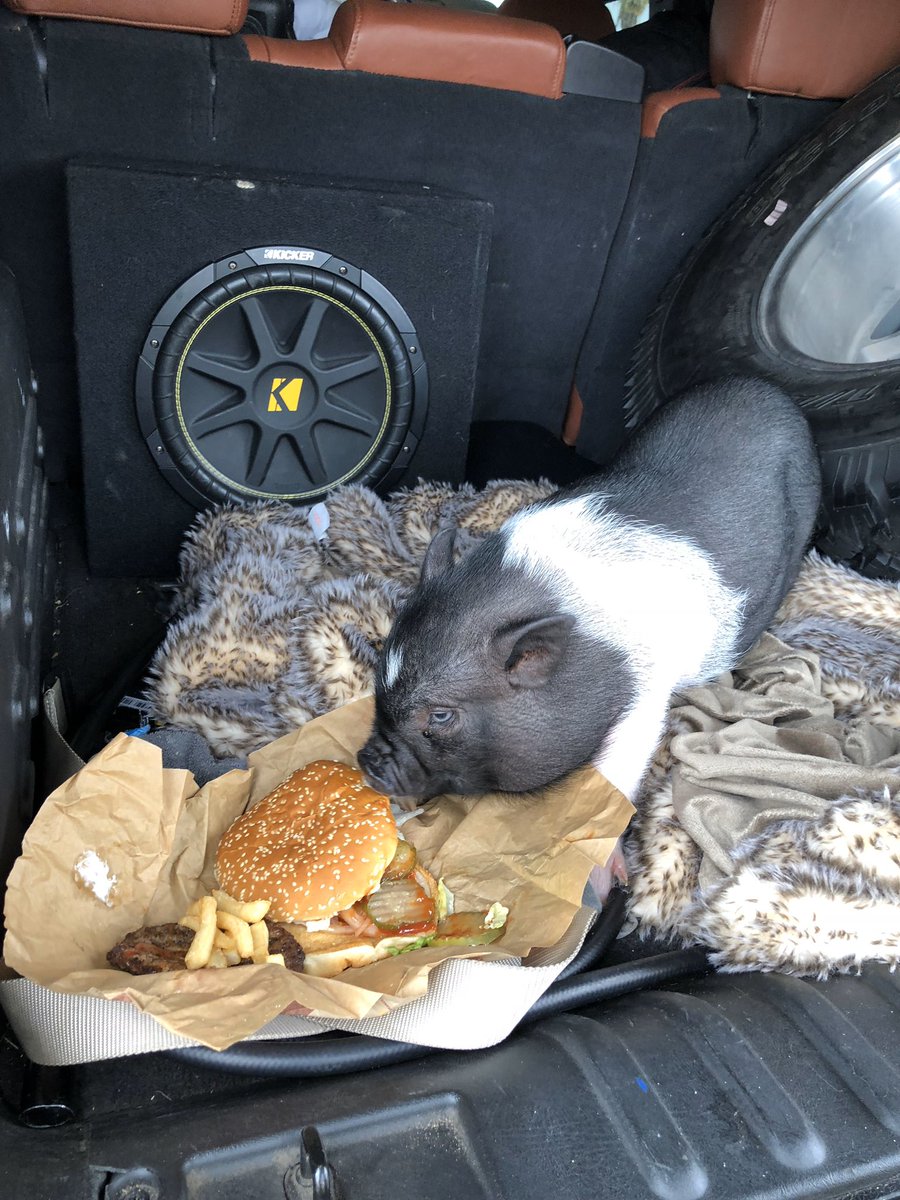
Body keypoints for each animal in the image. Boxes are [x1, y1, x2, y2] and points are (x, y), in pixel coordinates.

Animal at [359, 378, 821, 884]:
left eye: (441, 716)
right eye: (378, 676)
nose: (365, 761)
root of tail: (772, 390)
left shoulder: (645, 691)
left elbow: (618, 771)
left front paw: (610, 875)